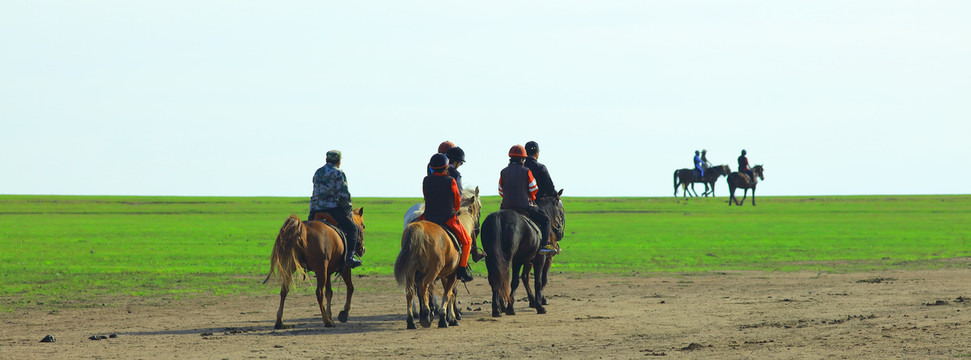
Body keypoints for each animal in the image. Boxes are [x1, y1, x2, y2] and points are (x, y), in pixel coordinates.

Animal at [394, 188, 482, 330]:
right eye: (479, 208)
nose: (477, 229)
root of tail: (417, 229)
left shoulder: (447, 274)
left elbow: (448, 293)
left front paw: (448, 316)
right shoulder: (453, 275)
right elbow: (449, 293)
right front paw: (449, 318)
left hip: (411, 271)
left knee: (411, 291)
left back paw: (412, 320)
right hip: (432, 270)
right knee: (423, 286)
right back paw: (426, 314)